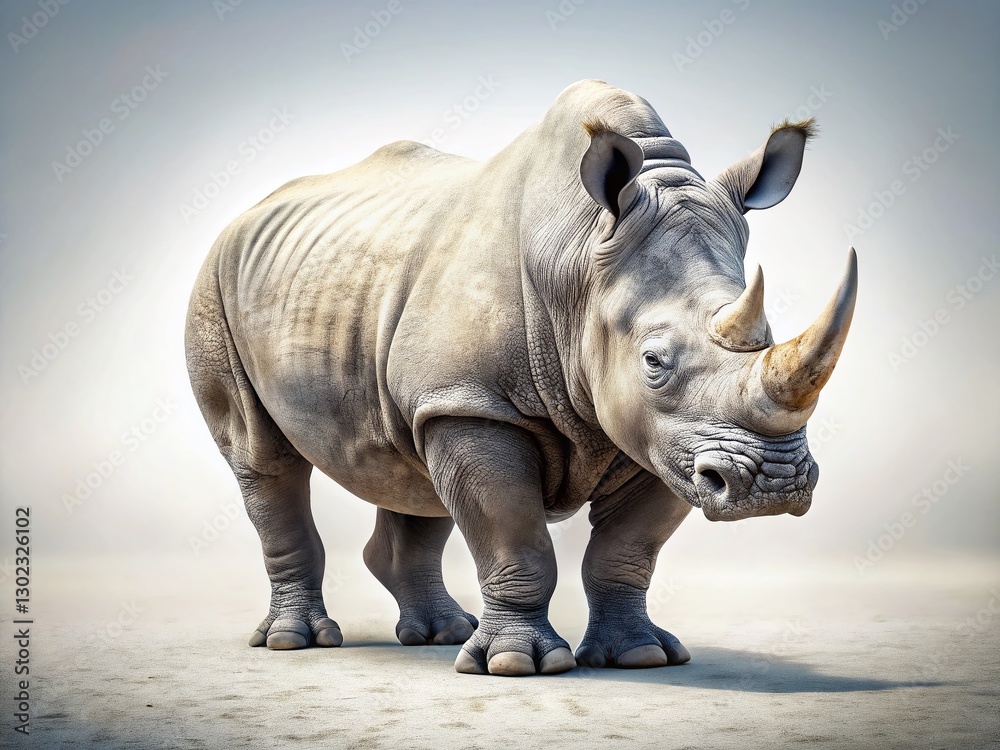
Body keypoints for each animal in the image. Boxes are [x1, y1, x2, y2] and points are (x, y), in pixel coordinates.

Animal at [186, 79, 857, 676]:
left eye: (767, 336)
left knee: (412, 465)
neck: (582, 258)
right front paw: (518, 665)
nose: (774, 485)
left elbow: (626, 550)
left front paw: (640, 656)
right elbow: (515, 538)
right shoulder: (479, 403)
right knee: (264, 460)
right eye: (654, 362)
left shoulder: (667, 437)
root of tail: (245, 216)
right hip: (214, 286)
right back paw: (296, 641)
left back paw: (440, 635)